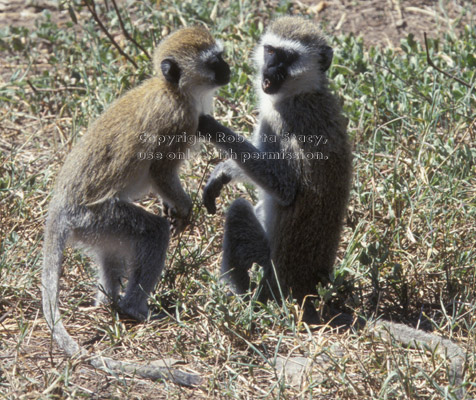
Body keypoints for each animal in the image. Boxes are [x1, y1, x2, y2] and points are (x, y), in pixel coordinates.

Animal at [41, 24, 231, 384]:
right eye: (214, 62)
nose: (229, 70)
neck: (174, 90)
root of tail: (59, 208)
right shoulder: (179, 121)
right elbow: (160, 172)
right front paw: (182, 207)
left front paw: (173, 206)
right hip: (96, 217)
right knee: (153, 231)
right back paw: (134, 309)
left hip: (93, 229)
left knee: (110, 253)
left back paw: (107, 302)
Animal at [200, 17, 464, 396]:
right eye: (271, 51)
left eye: (287, 57)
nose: (270, 70)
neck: (304, 92)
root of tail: (308, 292)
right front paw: (223, 169)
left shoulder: (282, 123)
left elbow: (285, 189)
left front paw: (213, 131)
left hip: (271, 277)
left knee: (238, 212)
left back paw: (236, 298)